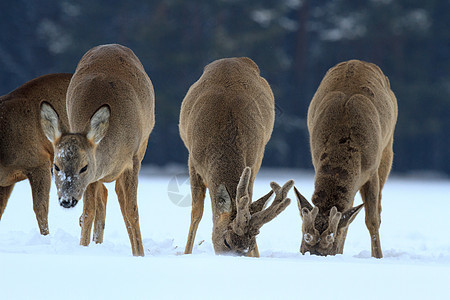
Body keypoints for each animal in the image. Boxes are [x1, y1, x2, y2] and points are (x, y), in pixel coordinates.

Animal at [42, 44, 155, 255]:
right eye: (55, 166)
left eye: (83, 167)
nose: (66, 200)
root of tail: (110, 45)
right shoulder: (93, 176)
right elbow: (88, 212)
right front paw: (84, 246)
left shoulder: (133, 159)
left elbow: (132, 210)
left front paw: (139, 254)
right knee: (104, 194)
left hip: (144, 142)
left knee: (119, 195)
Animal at [181, 57, 294, 256]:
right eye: (226, 242)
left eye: (248, 245)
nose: (240, 255)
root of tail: (235, 59)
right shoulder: (193, 161)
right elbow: (196, 212)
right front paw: (185, 253)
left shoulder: (254, 160)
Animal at [296, 59, 398, 258]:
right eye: (304, 235)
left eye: (331, 239)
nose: (314, 254)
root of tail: (359, 61)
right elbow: (350, 214)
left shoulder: (371, 170)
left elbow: (372, 219)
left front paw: (378, 257)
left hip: (388, 147)